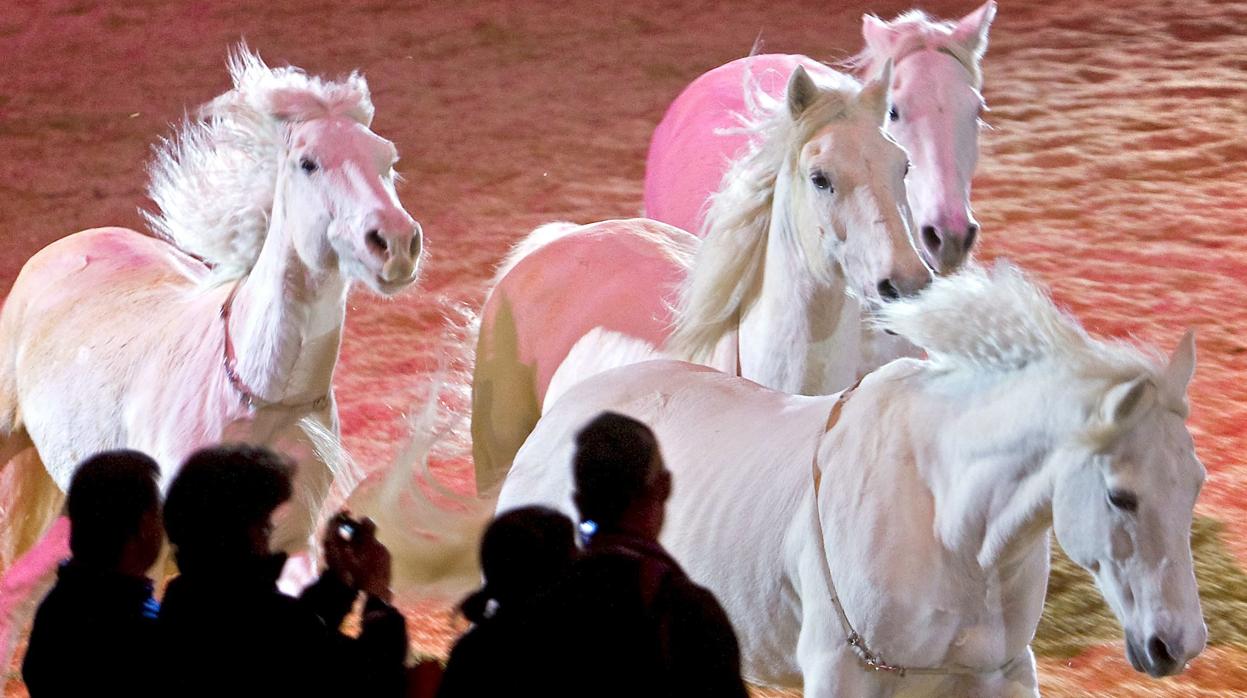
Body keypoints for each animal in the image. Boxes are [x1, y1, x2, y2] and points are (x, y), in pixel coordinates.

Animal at [0, 46, 421, 673]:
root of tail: (62, 249)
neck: (260, 401)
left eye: (387, 159)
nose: (393, 243)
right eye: (308, 163)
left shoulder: (284, 544)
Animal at [498, 264, 1207, 693]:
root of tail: (561, 410)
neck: (945, 527)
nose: (1179, 643)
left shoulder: (1001, 675)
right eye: (1121, 495)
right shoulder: (842, 674)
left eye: (1195, 484)